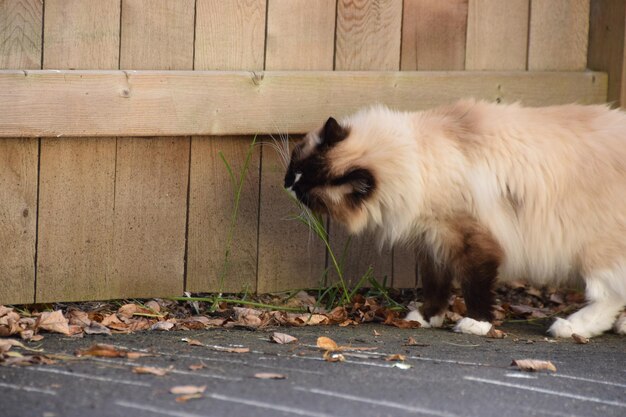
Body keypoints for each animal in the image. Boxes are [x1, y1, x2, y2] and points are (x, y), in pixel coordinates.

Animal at [282, 100, 624, 338]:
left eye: (308, 191)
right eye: (295, 168)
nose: (287, 186)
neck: (415, 161)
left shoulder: (470, 240)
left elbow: (476, 287)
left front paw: (477, 324)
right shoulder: (433, 242)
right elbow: (436, 286)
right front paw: (425, 318)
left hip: (594, 250)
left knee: (608, 296)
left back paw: (570, 327)